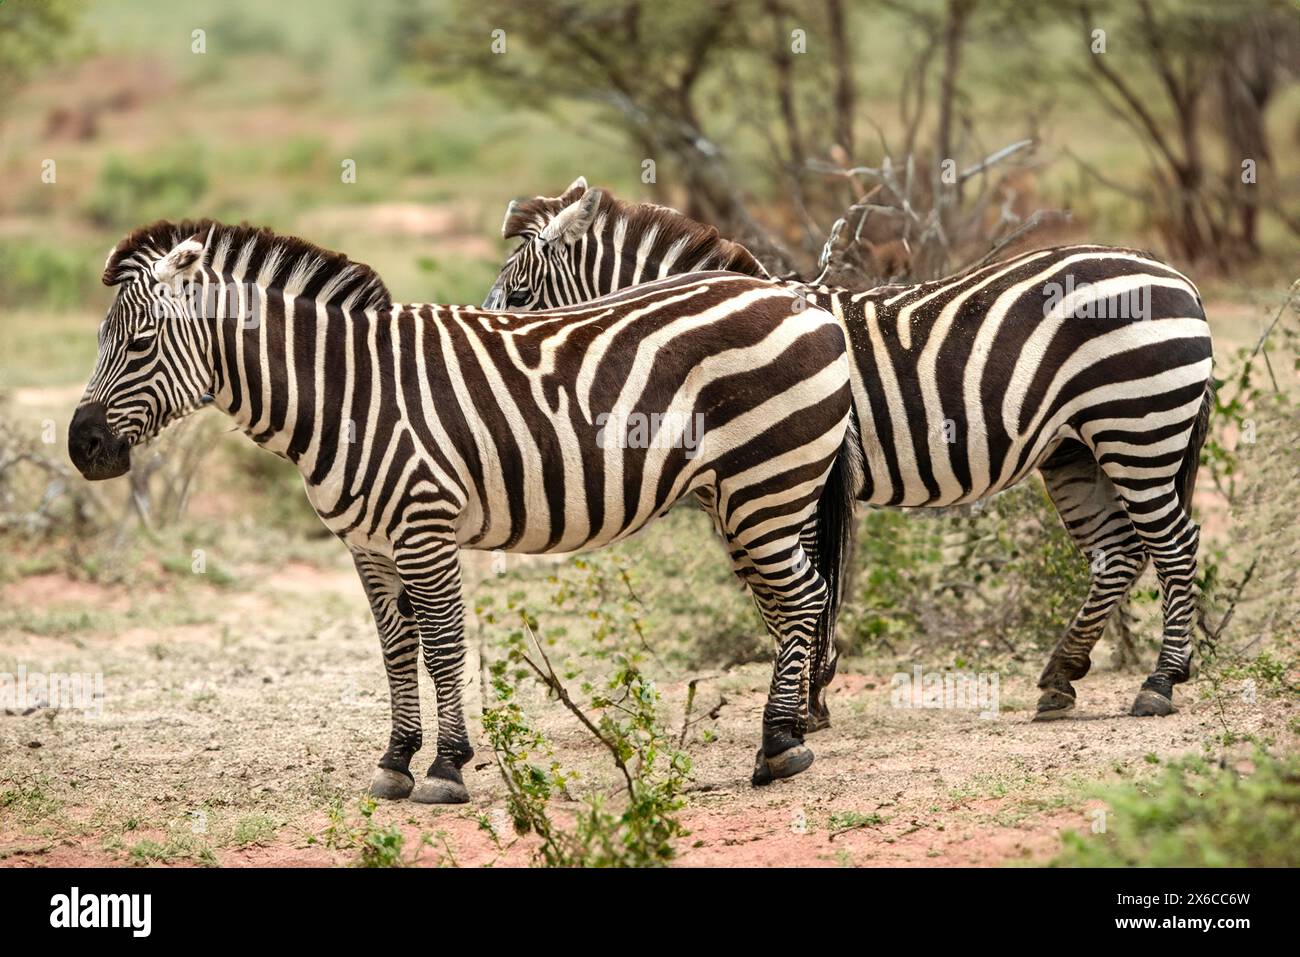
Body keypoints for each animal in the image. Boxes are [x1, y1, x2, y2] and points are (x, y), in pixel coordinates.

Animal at [68, 219, 858, 801]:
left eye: (140, 343)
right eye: (100, 341)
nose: (82, 446)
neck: (346, 396)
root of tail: (801, 297)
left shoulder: (425, 525)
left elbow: (444, 644)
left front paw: (446, 767)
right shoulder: (368, 545)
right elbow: (396, 651)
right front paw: (395, 761)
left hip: (768, 481)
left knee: (803, 597)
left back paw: (778, 747)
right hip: (745, 496)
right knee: (791, 602)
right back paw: (789, 732)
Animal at [483, 177, 1216, 724]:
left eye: (518, 295)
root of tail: (1176, 277)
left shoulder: (785, 479)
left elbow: (790, 588)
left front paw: (805, 701)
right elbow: (792, 587)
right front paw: (812, 693)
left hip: (1138, 424)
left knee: (1174, 544)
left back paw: (1159, 682)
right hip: (1075, 448)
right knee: (1119, 554)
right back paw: (1062, 676)